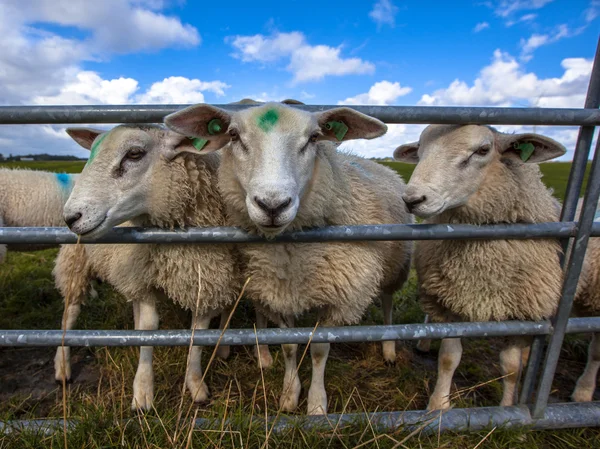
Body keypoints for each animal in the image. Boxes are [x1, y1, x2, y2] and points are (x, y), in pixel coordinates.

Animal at [54, 124, 241, 412]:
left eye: (134, 153)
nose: (72, 217)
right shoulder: (145, 282)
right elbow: (150, 328)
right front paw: (143, 393)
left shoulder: (205, 281)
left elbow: (198, 335)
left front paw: (195, 384)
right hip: (76, 263)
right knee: (69, 313)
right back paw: (62, 366)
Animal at [166, 101, 414, 412]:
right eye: (233, 135)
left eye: (314, 138)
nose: (273, 205)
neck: (290, 254)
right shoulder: (278, 291)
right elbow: (288, 345)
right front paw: (289, 394)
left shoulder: (339, 296)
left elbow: (319, 349)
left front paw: (317, 404)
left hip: (397, 265)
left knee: (388, 301)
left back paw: (389, 347)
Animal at [394, 122, 568, 410]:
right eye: (419, 151)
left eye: (483, 150)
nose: (412, 200)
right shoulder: (451, 302)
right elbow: (449, 357)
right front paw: (438, 405)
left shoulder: (521, 313)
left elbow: (511, 368)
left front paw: (508, 408)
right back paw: (424, 341)